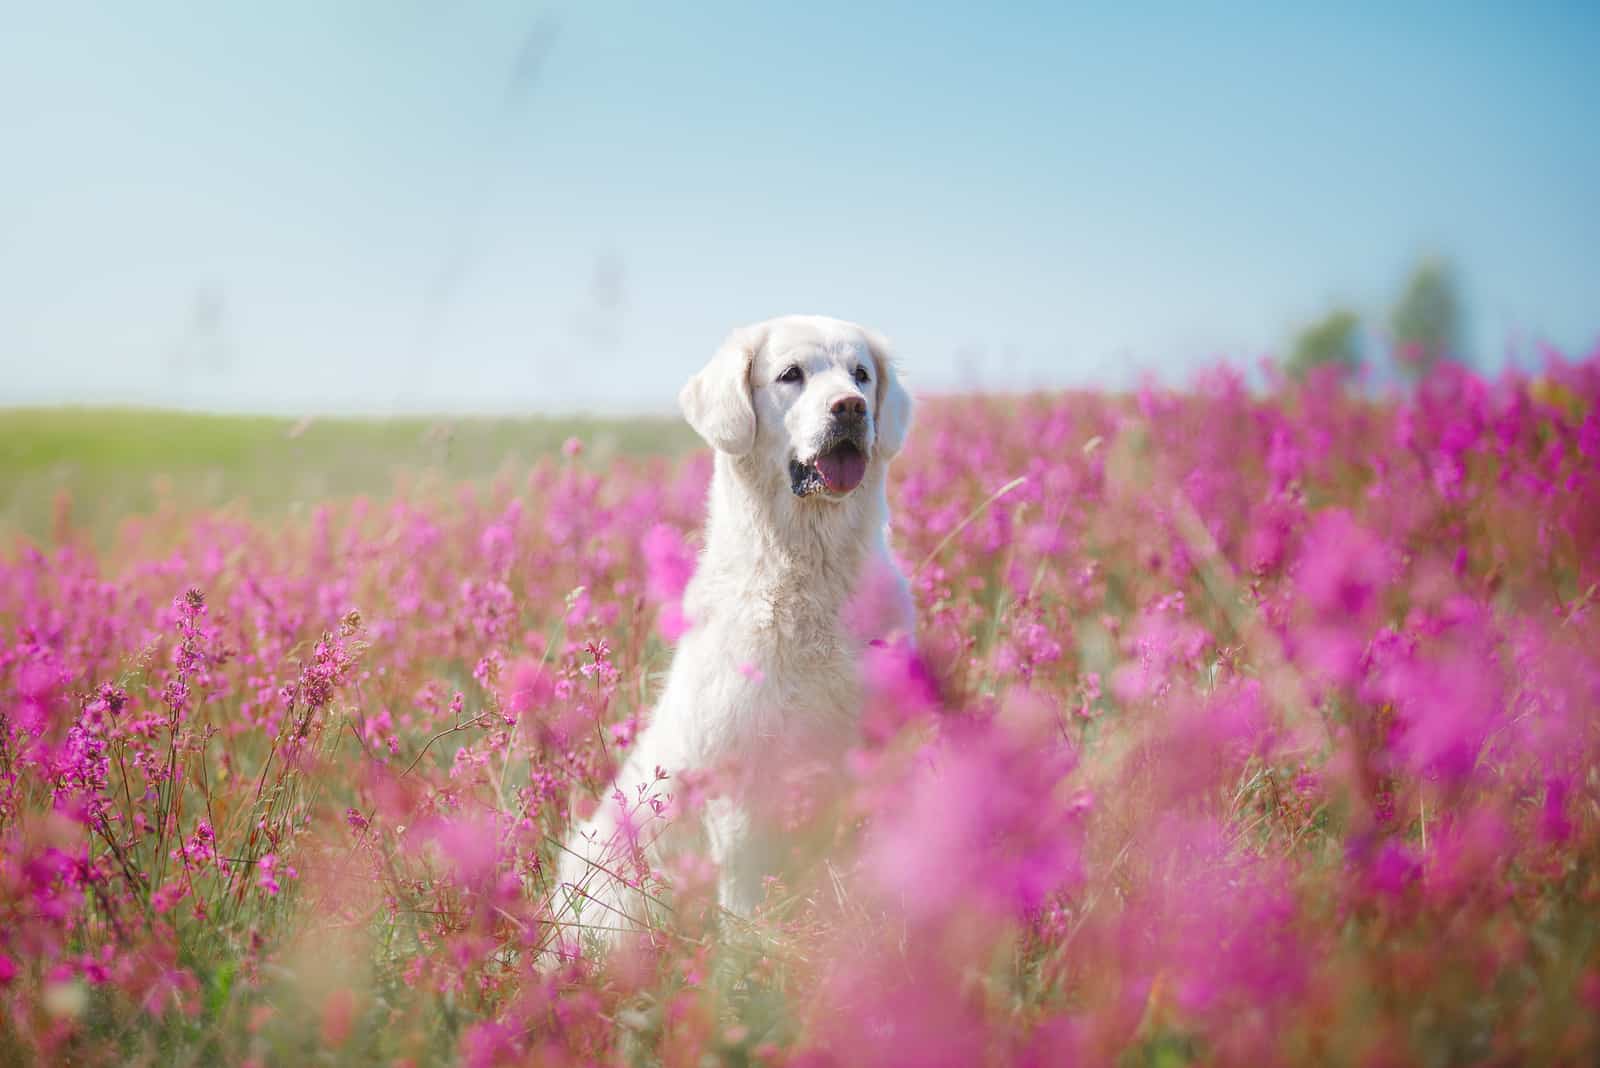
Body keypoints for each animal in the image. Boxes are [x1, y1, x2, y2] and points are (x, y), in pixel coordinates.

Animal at [556, 313, 915, 946]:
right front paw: (751, 955)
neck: (810, 570)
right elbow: (746, 897)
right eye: (792, 375)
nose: (850, 407)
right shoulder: (741, 783)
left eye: (861, 375)